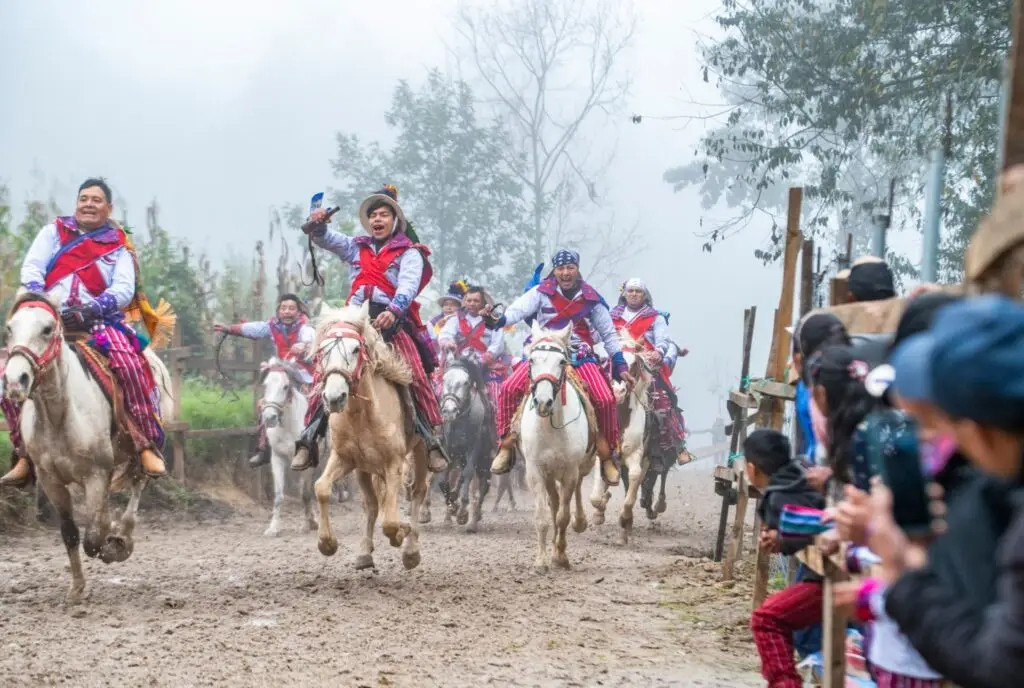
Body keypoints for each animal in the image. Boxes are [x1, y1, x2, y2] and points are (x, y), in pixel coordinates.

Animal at [1, 292, 173, 606]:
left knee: (137, 485)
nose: (15, 381)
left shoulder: (95, 474)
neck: (59, 416)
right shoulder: (51, 480)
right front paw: (77, 588)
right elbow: (70, 533)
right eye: (10, 328)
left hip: (140, 452)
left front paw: (109, 543)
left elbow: (93, 535)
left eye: (47, 329)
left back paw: (121, 538)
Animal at [258, 358, 317, 540]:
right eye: (265, 385)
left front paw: (305, 525)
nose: (269, 417)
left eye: (285, 386)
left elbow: (305, 494)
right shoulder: (278, 458)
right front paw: (273, 528)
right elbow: (279, 495)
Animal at [436, 352, 491, 536]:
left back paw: (473, 521)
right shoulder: (448, 449)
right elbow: (443, 480)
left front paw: (462, 513)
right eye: (444, 379)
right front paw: (452, 505)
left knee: (483, 485)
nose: (449, 411)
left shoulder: (473, 448)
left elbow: (467, 474)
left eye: (466, 382)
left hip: (485, 460)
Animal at [520, 323, 593, 569]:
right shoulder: (535, 471)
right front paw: (542, 560)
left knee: (574, 493)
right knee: (553, 503)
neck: (551, 430)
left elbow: (563, 516)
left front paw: (560, 555)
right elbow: (543, 517)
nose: (543, 402)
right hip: (550, 475)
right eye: (532, 360)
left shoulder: (570, 471)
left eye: (561, 361)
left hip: (580, 465)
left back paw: (579, 522)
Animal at [589, 335, 651, 544]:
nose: (618, 391)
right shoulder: (603, 453)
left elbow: (632, 482)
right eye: (609, 359)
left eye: (635, 364)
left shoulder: (636, 454)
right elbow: (596, 495)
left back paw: (625, 530)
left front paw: (624, 520)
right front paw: (598, 512)